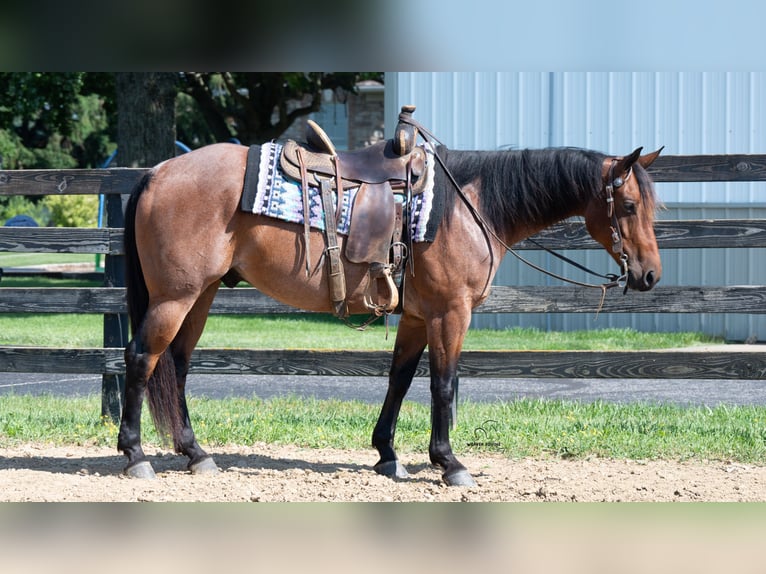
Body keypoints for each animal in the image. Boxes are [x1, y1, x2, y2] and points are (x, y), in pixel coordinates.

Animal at [118, 138, 662, 487]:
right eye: (629, 206)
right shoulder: (449, 314)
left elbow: (399, 380)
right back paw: (136, 456)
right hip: (175, 297)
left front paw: (387, 455)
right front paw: (449, 463)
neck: (468, 207)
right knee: (142, 358)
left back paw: (195, 454)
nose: (651, 275)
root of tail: (157, 172)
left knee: (178, 364)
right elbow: (443, 384)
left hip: (201, 295)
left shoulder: (419, 317)